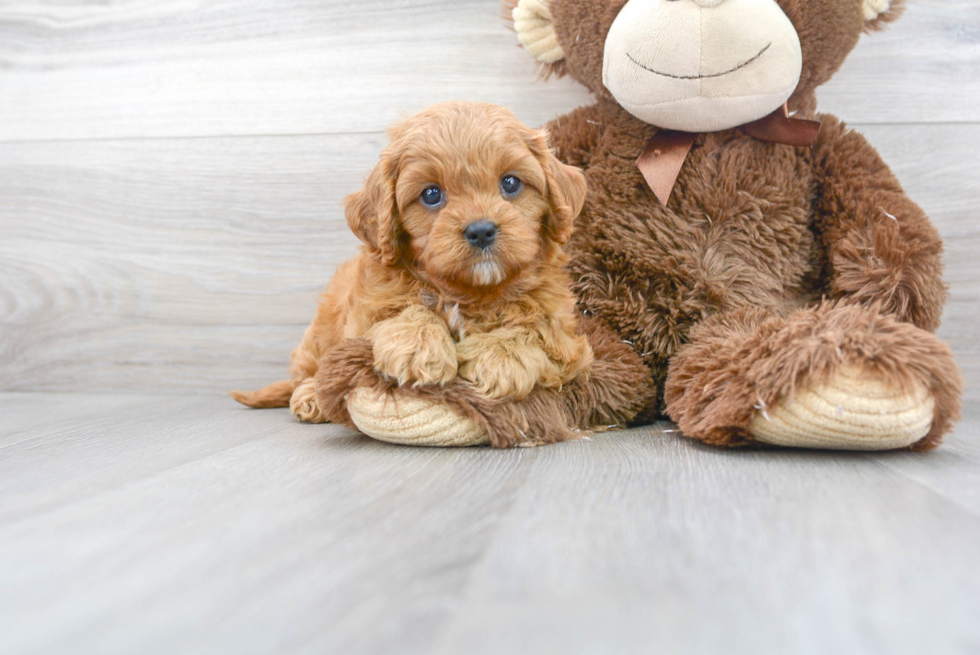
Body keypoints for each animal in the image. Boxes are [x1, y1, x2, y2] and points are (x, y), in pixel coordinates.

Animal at [232, 100, 588, 422]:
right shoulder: (366, 313)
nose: (481, 231)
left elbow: (535, 327)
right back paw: (310, 396)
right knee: (309, 372)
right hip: (319, 332)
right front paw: (418, 345)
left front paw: (502, 357)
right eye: (431, 194)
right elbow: (406, 308)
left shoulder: (568, 340)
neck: (469, 292)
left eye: (511, 183)